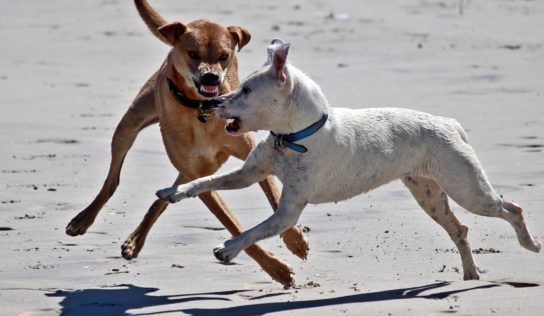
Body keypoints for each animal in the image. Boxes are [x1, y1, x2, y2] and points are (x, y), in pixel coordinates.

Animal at [65, 0, 306, 286]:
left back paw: (136, 239)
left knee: (167, 193)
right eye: (193, 53)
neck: (201, 110)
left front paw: (295, 240)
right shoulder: (200, 176)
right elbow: (232, 223)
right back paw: (84, 220)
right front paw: (276, 268)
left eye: (224, 55)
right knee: (113, 179)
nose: (212, 77)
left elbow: (274, 195)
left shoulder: (248, 157)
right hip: (130, 124)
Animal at [157, 39, 540, 278]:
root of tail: (449, 123)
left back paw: (530, 244)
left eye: (247, 90)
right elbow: (204, 181)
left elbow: (255, 231)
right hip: (429, 195)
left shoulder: (288, 212)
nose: (212, 103)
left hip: (469, 190)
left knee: (512, 209)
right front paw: (173, 193)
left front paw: (228, 249)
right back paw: (471, 273)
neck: (295, 137)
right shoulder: (249, 174)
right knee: (460, 228)